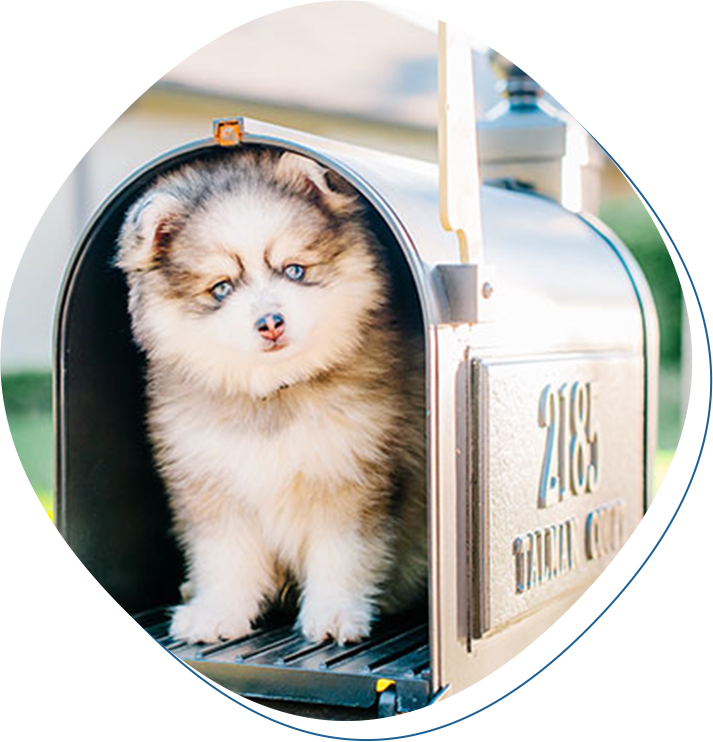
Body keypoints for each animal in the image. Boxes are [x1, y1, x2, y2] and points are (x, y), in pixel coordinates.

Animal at [117, 147, 426, 644]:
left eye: (294, 270)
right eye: (221, 287)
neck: (273, 393)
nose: (270, 322)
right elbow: (225, 558)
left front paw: (334, 614)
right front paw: (217, 611)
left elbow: (342, 556)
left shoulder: (351, 479)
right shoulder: (211, 485)